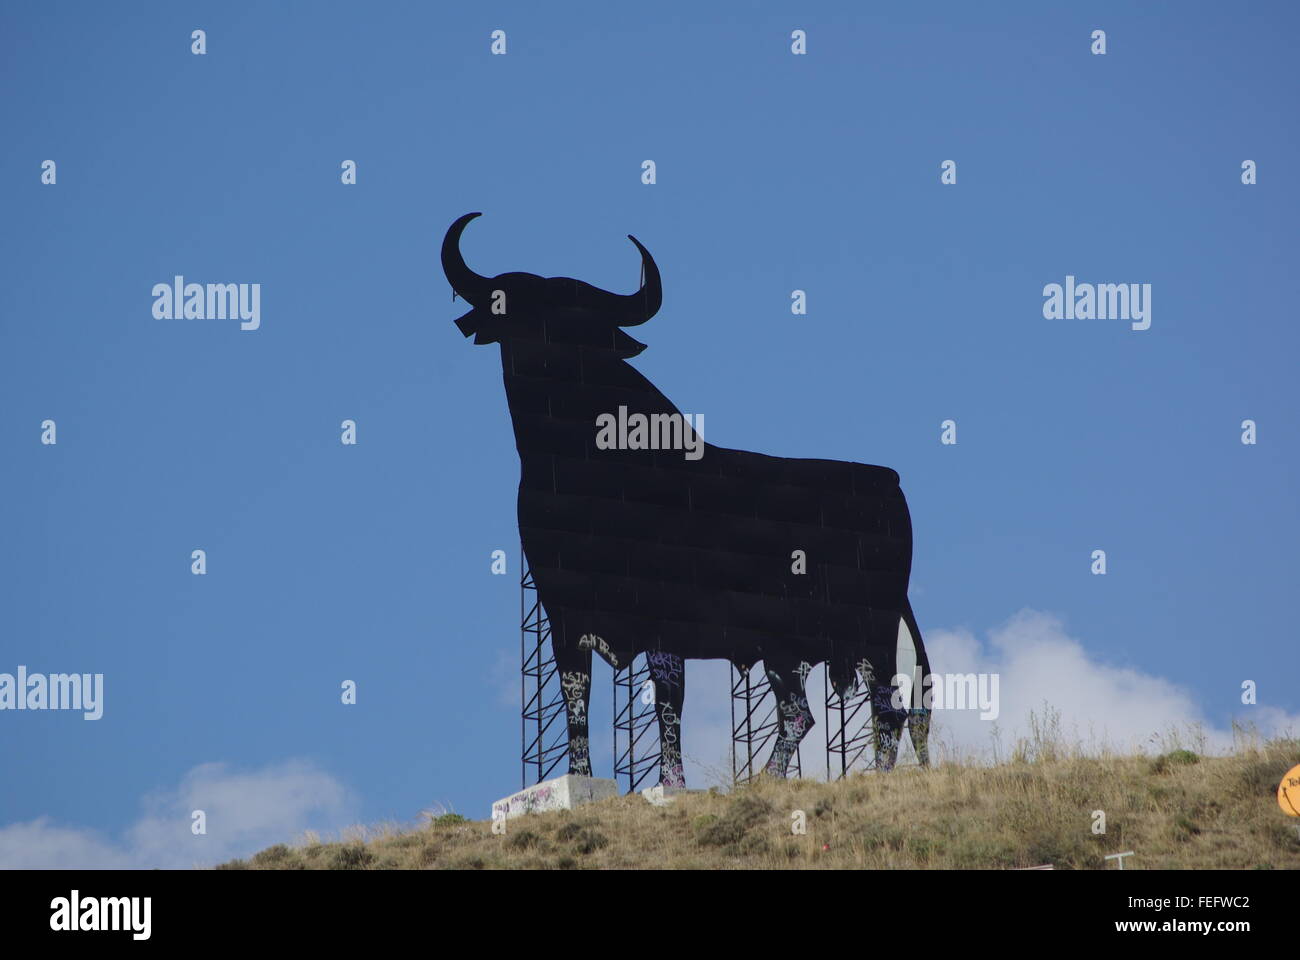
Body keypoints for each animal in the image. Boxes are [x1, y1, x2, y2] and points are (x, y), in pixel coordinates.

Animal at [443, 212, 932, 788]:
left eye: (581, 324)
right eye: (517, 311)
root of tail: (889, 482)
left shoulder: (663, 615)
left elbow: (667, 704)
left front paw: (671, 786)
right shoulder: (564, 613)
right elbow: (576, 700)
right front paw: (583, 778)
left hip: (868, 630)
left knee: (878, 708)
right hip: (793, 646)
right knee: (815, 711)